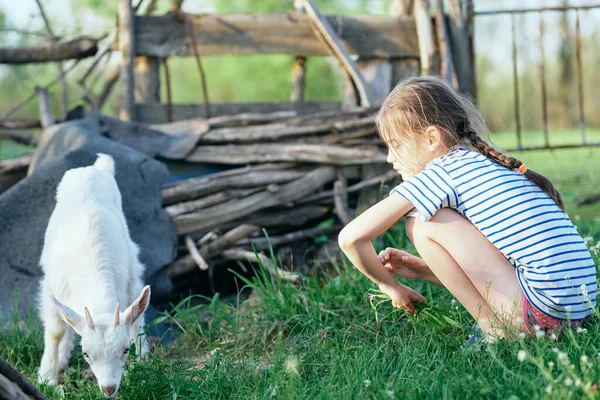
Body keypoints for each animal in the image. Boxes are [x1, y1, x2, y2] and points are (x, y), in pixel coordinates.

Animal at [37, 154, 150, 396]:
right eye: (86, 354)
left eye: (125, 349)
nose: (108, 388)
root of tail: (93, 169)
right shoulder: (51, 289)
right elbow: (55, 332)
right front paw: (47, 378)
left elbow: (135, 319)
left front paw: (140, 366)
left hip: (132, 263)